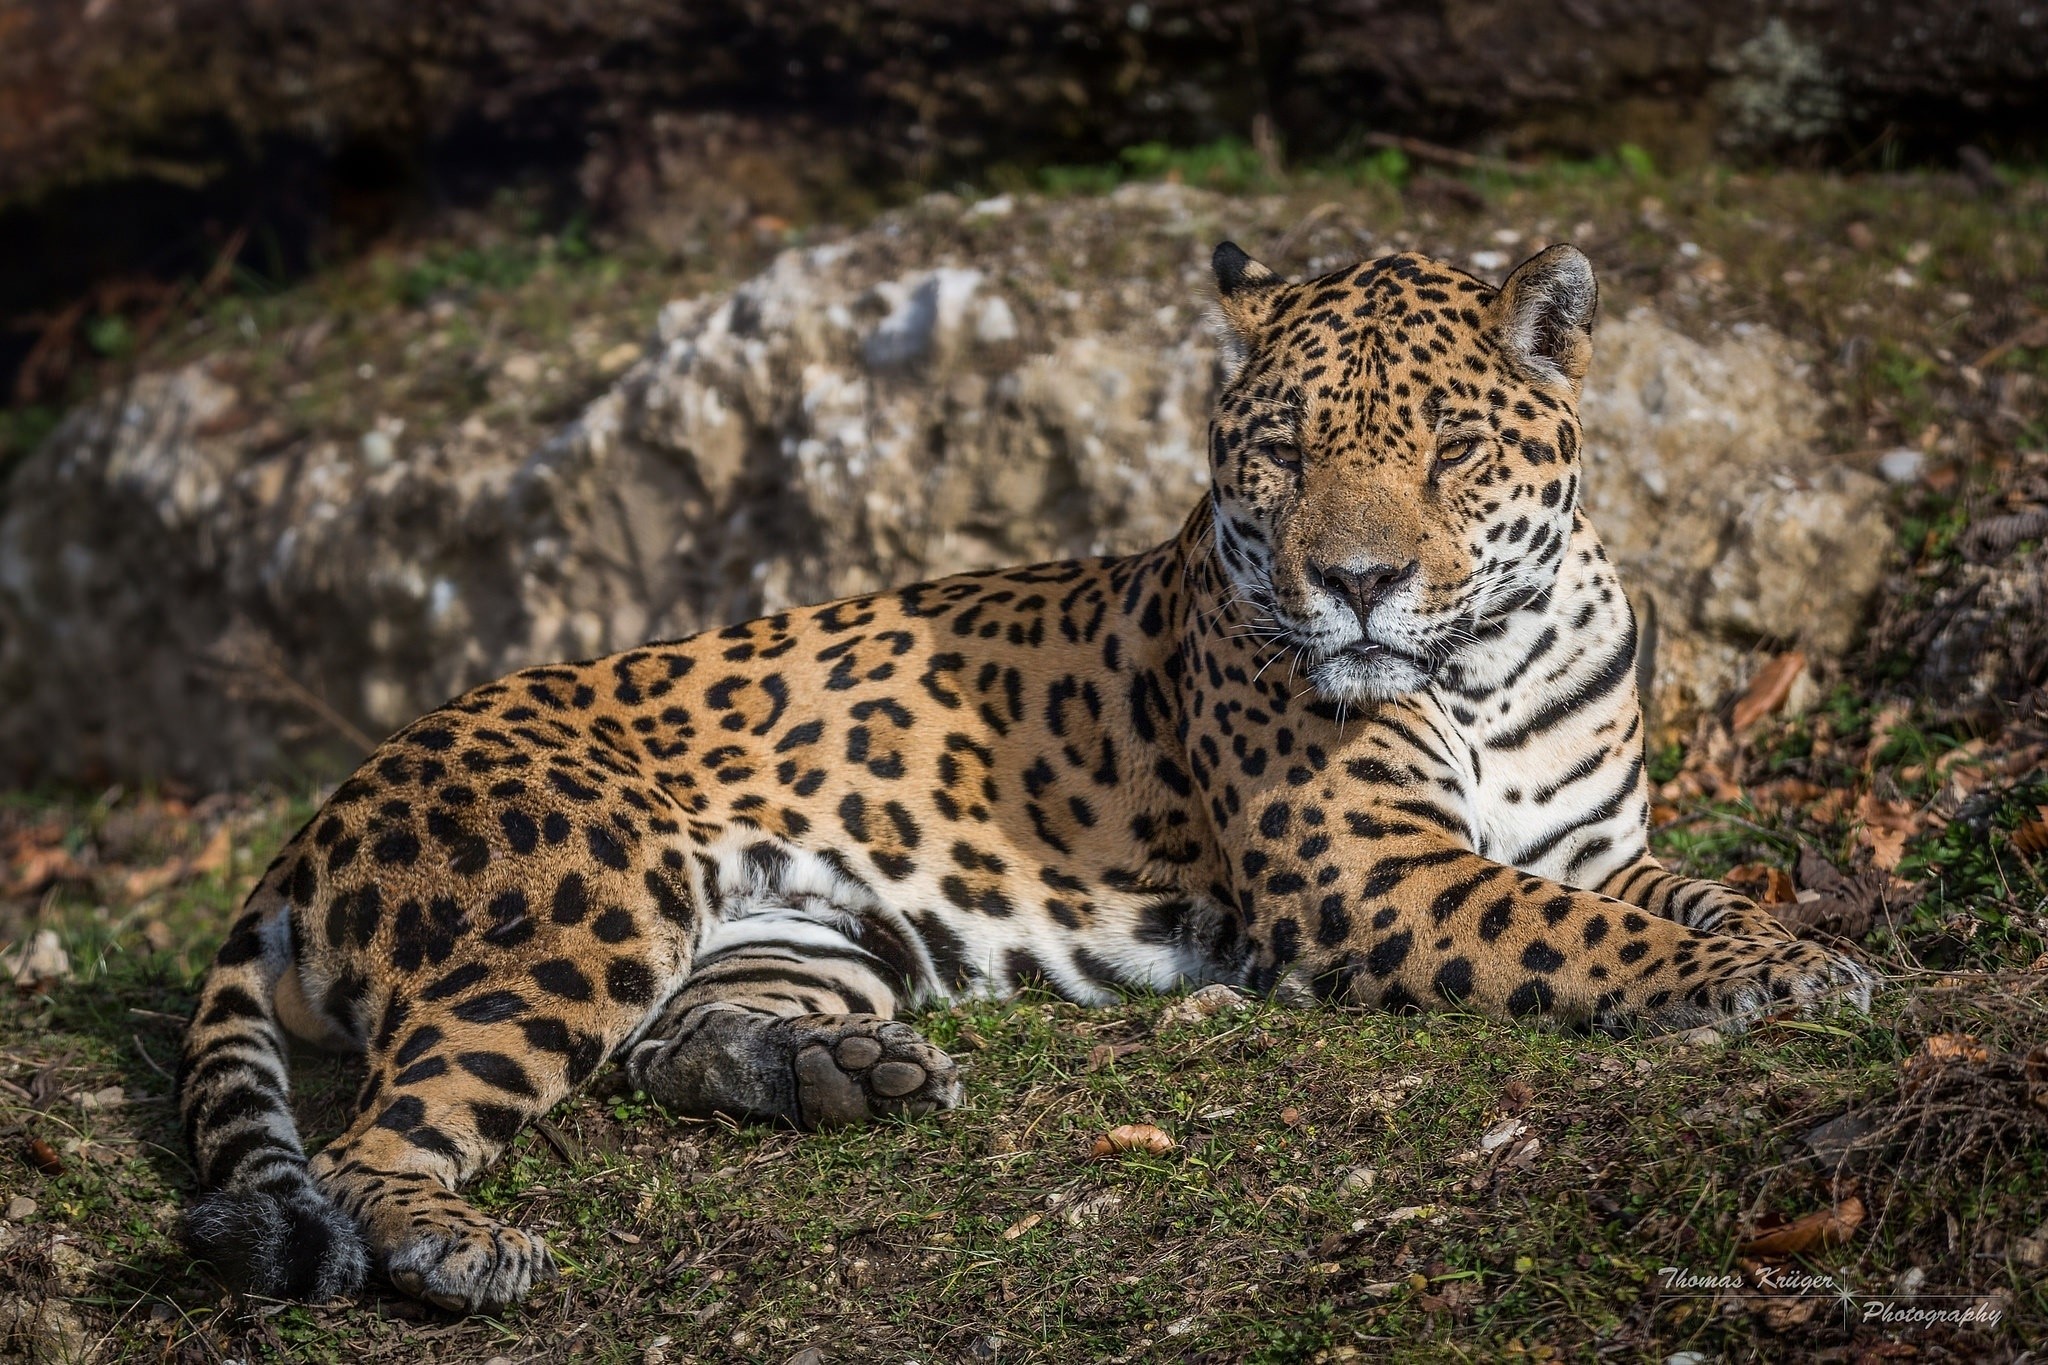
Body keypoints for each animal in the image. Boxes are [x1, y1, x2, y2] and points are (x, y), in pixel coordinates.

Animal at [177, 240, 1874, 1313]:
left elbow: (1682, 897)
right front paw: (1767, 979)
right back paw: (452, 1249)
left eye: (1455, 449)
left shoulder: (1595, 841)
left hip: (801, 929)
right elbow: (1591, 939)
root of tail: (316, 817)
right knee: (372, 1141)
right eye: (1280, 454)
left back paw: (847, 1075)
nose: (1358, 583)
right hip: (587, 896)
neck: (1491, 659)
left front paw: (1803, 945)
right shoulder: (1368, 877)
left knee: (675, 1039)